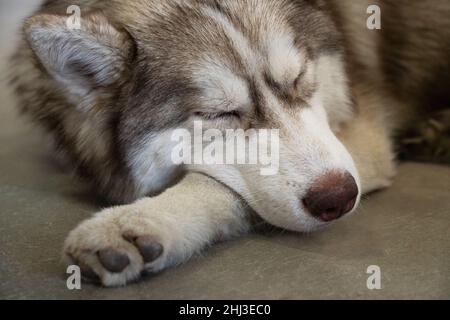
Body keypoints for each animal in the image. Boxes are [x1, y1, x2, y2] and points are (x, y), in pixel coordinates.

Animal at [10, 0, 450, 284]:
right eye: (221, 114)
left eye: (299, 77)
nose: (338, 196)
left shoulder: (363, 139)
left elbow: (215, 184)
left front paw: (142, 220)